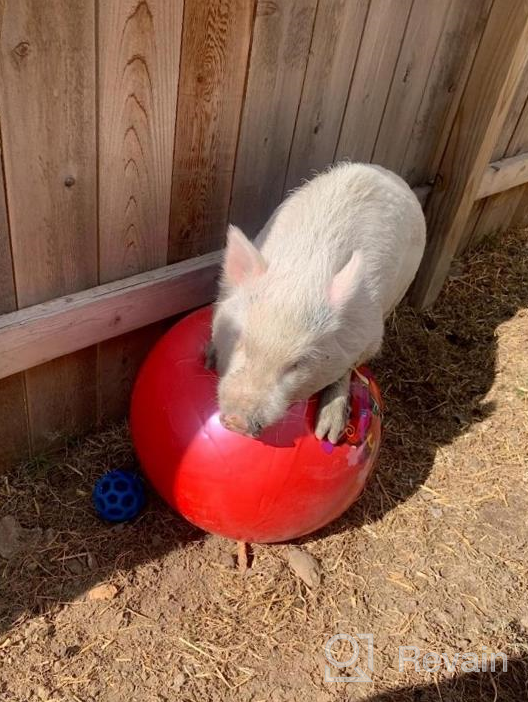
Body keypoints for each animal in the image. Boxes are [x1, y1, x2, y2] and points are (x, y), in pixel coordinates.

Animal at [205, 162, 424, 442]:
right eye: (240, 340)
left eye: (297, 363)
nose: (237, 421)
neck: (306, 271)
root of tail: (383, 171)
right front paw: (209, 359)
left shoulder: (371, 335)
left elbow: (347, 369)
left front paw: (326, 435)